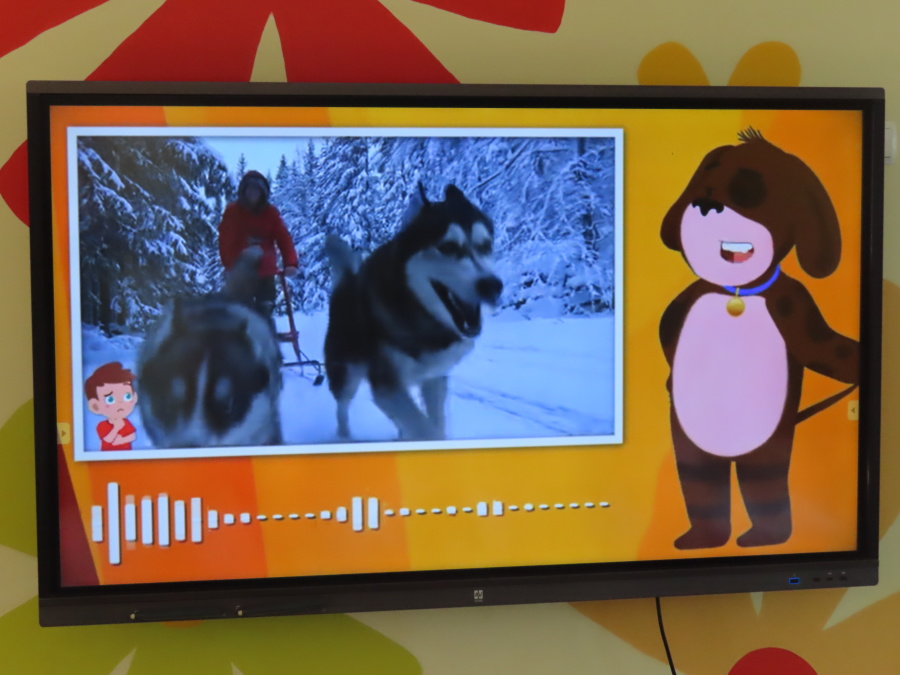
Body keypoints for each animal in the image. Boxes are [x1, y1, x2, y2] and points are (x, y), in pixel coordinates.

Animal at [324, 183, 503, 442]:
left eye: (486, 245)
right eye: (448, 247)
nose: (492, 286)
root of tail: (346, 281)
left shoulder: (433, 379)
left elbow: (434, 425)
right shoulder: (386, 385)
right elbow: (427, 430)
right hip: (345, 374)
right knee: (342, 408)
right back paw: (345, 437)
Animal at [659, 128, 859, 549]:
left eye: (749, 189)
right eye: (704, 186)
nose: (705, 205)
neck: (737, 291)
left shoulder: (796, 306)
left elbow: (822, 347)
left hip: (772, 439)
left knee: (763, 479)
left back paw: (764, 536)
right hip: (690, 440)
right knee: (701, 478)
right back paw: (703, 538)